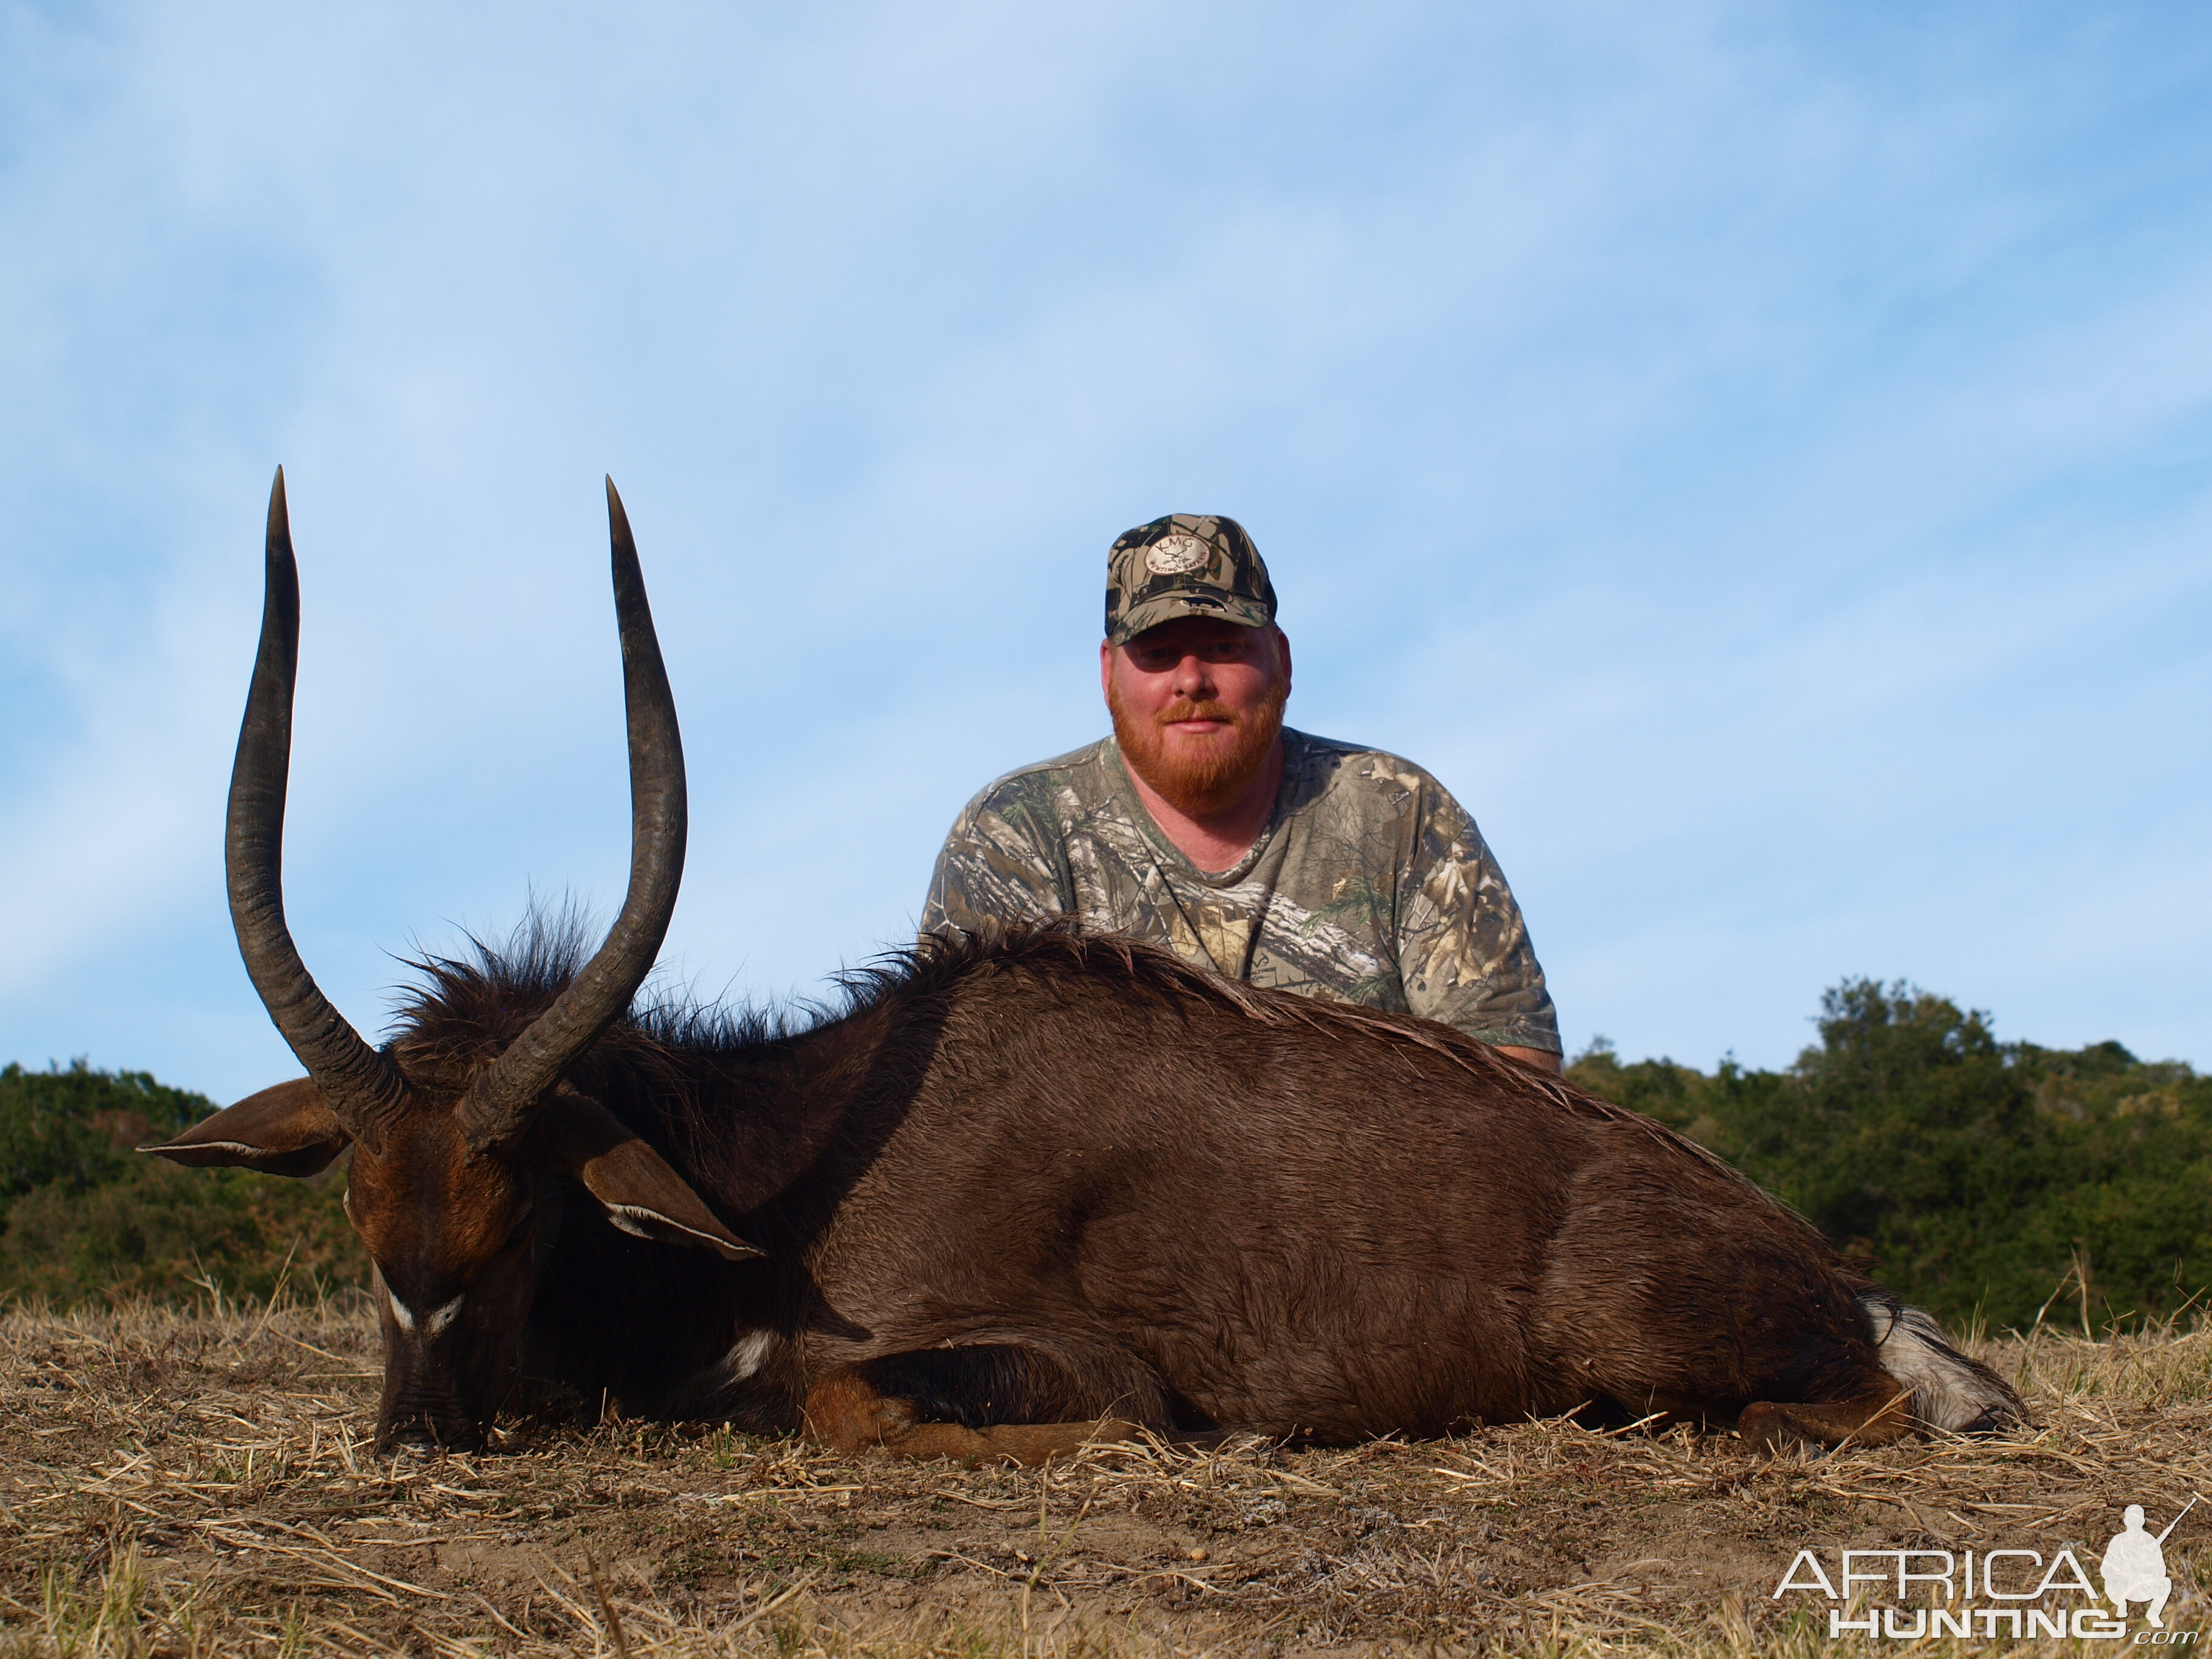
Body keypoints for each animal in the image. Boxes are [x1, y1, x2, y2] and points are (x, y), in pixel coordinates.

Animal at [147, 473, 2026, 1460]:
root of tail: (1823, 1262)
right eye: (358, 1206)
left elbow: (857, 1404)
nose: (417, 1429)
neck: (787, 1164)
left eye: (527, 1205)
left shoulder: (1050, 1360)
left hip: (1665, 1362)